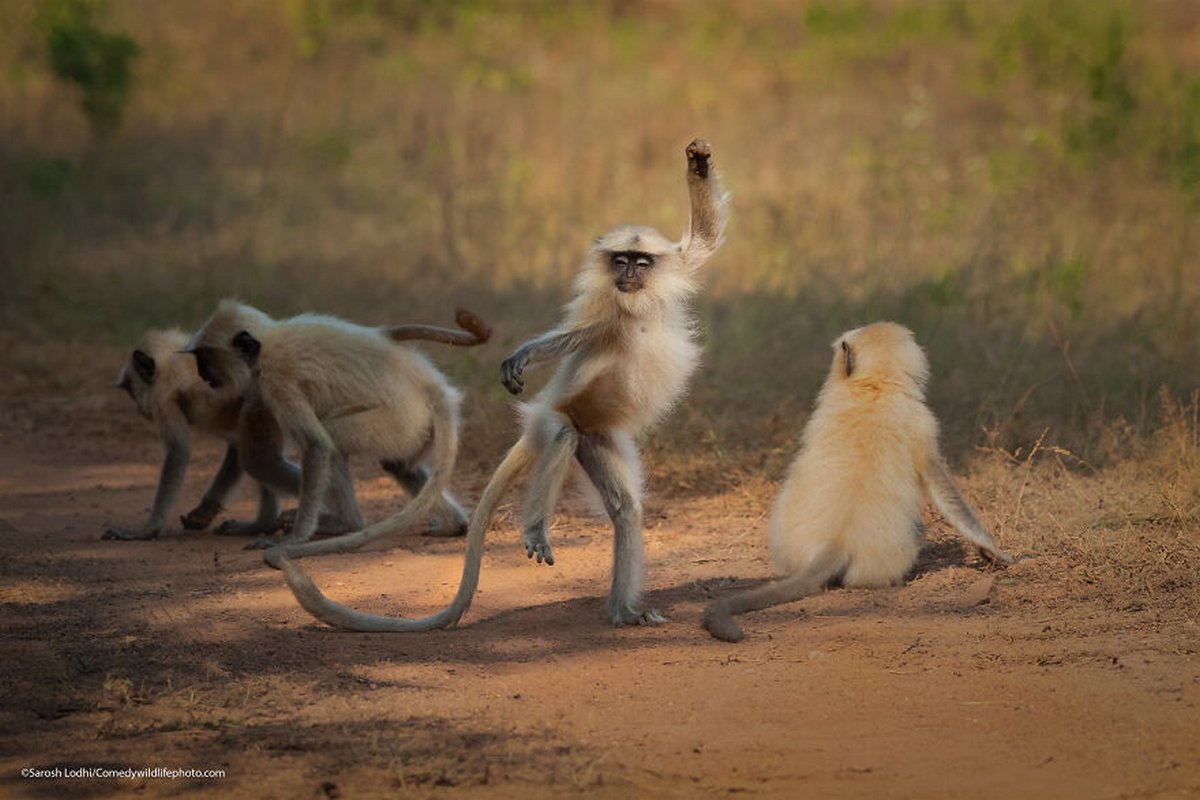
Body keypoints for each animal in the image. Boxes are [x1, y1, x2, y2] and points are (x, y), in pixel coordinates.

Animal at [104, 328, 284, 542]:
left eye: (132, 390)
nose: (140, 409)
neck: (170, 364)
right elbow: (238, 447)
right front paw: (204, 514)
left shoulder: (162, 400)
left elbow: (178, 452)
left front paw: (147, 531)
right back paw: (262, 524)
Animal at [187, 302, 487, 556]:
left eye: (204, 358)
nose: (202, 374)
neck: (268, 341)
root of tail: (430, 387)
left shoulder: (276, 379)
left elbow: (317, 445)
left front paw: (294, 539)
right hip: (417, 428)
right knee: (398, 464)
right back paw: (452, 525)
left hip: (397, 420)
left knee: (332, 439)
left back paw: (347, 524)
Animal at [276, 142, 724, 633]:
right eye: (620, 260)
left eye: (641, 263)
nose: (627, 273)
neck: (635, 302)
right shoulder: (604, 310)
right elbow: (565, 339)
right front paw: (523, 355)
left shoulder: (662, 274)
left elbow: (703, 241)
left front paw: (698, 163)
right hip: (557, 418)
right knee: (562, 437)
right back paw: (536, 530)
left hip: (597, 437)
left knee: (625, 508)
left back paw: (624, 612)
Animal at [700, 321, 1012, 642]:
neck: (875, 387)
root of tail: (835, 543)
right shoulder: (923, 422)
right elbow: (945, 491)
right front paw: (995, 551)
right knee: (917, 530)